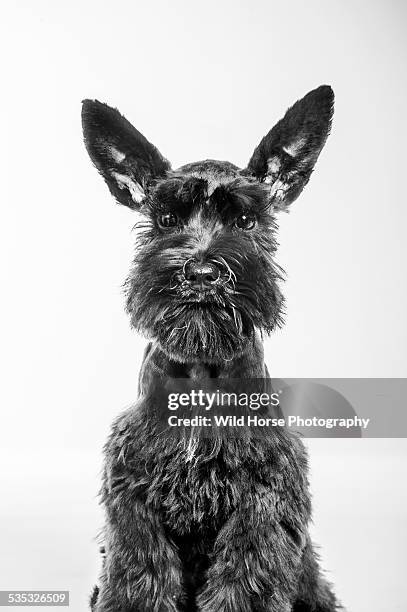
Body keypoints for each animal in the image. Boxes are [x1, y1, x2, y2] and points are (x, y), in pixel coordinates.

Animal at [82, 87, 342, 612]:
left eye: (245, 219)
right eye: (165, 220)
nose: (202, 273)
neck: (202, 372)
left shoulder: (262, 499)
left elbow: (247, 578)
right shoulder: (133, 496)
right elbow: (139, 576)